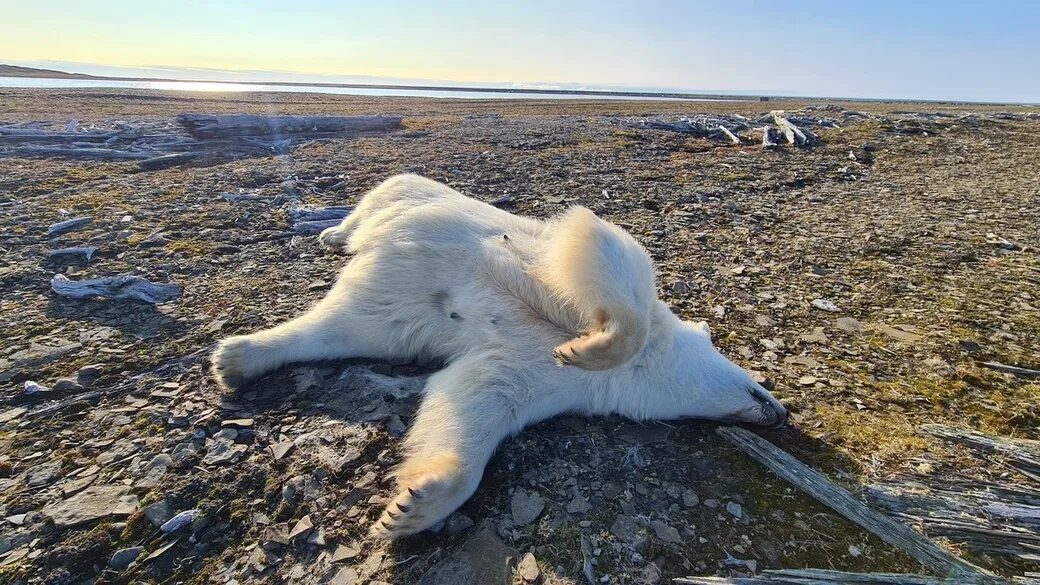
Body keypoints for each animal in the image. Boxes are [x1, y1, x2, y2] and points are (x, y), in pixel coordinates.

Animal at [213, 172, 786, 537]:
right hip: (404, 192)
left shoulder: (538, 378)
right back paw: (332, 233)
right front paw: (581, 347)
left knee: (345, 326)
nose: (780, 414)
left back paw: (238, 358)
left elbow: (473, 398)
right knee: (372, 210)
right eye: (758, 382)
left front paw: (413, 505)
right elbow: (605, 255)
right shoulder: (593, 270)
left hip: (388, 312)